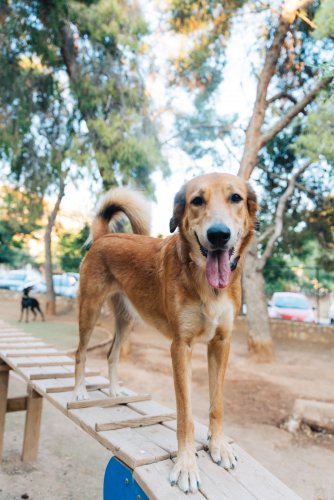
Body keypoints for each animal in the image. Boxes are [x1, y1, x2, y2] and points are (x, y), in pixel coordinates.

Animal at [73, 172, 256, 492]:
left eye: (236, 198)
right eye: (197, 200)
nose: (218, 235)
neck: (206, 284)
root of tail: (104, 237)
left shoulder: (221, 343)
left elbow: (217, 405)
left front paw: (219, 446)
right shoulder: (180, 347)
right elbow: (185, 415)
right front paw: (186, 465)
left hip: (126, 320)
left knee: (111, 354)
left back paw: (114, 390)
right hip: (90, 311)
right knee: (80, 353)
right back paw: (81, 390)